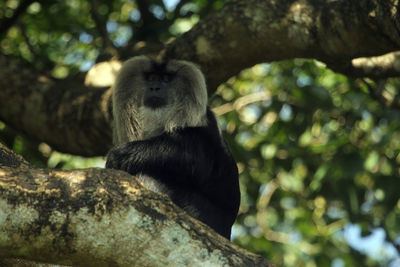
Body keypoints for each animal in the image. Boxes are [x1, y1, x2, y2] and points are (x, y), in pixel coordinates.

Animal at [104, 55, 239, 240]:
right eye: (152, 78)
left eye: (166, 79)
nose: (155, 87)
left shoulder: (205, 125)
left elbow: (196, 158)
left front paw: (120, 156)